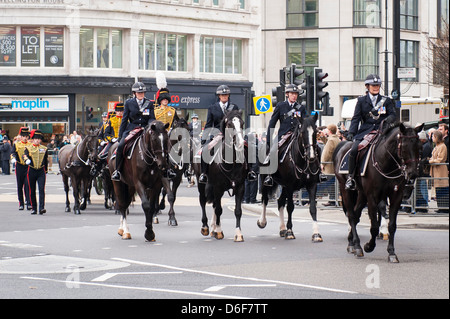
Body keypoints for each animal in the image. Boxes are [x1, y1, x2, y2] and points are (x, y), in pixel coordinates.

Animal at [194, 110, 248, 242]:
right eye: (229, 124)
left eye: (242, 123)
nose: (240, 144)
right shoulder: (217, 187)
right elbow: (218, 209)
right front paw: (218, 231)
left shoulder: (240, 187)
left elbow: (238, 211)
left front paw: (238, 234)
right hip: (201, 183)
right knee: (203, 201)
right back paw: (205, 227)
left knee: (214, 203)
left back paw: (213, 228)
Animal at [256, 112, 324, 242]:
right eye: (302, 132)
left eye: (315, 132)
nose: (312, 156)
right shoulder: (290, 186)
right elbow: (290, 207)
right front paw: (290, 232)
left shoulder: (312, 185)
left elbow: (313, 207)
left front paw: (316, 234)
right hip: (265, 180)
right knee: (265, 200)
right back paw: (262, 222)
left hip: (283, 186)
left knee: (280, 202)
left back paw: (282, 228)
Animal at [332, 122, 424, 262]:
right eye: (403, 147)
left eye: (419, 146)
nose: (412, 174)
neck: (386, 163)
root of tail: (343, 146)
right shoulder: (372, 197)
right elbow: (374, 226)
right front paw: (369, 246)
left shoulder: (395, 196)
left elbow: (392, 225)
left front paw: (391, 252)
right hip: (346, 189)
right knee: (352, 215)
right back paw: (357, 246)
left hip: (361, 194)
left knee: (356, 214)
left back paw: (352, 242)